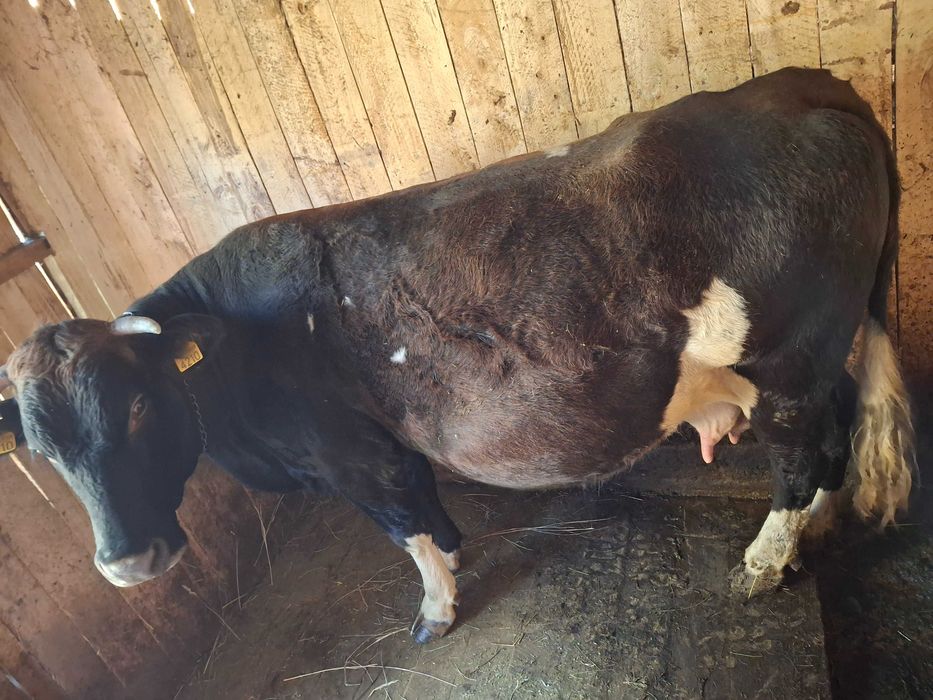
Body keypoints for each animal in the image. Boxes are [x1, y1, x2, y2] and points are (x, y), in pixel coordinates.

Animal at [0, 68, 915, 644]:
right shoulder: (391, 448)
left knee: (803, 452)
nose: (127, 565)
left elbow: (404, 530)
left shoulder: (353, 456)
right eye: (41, 452)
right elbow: (430, 508)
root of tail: (801, 84)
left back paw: (762, 562)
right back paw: (813, 530)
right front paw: (454, 556)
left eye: (139, 403)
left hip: (788, 364)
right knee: (835, 438)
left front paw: (434, 609)